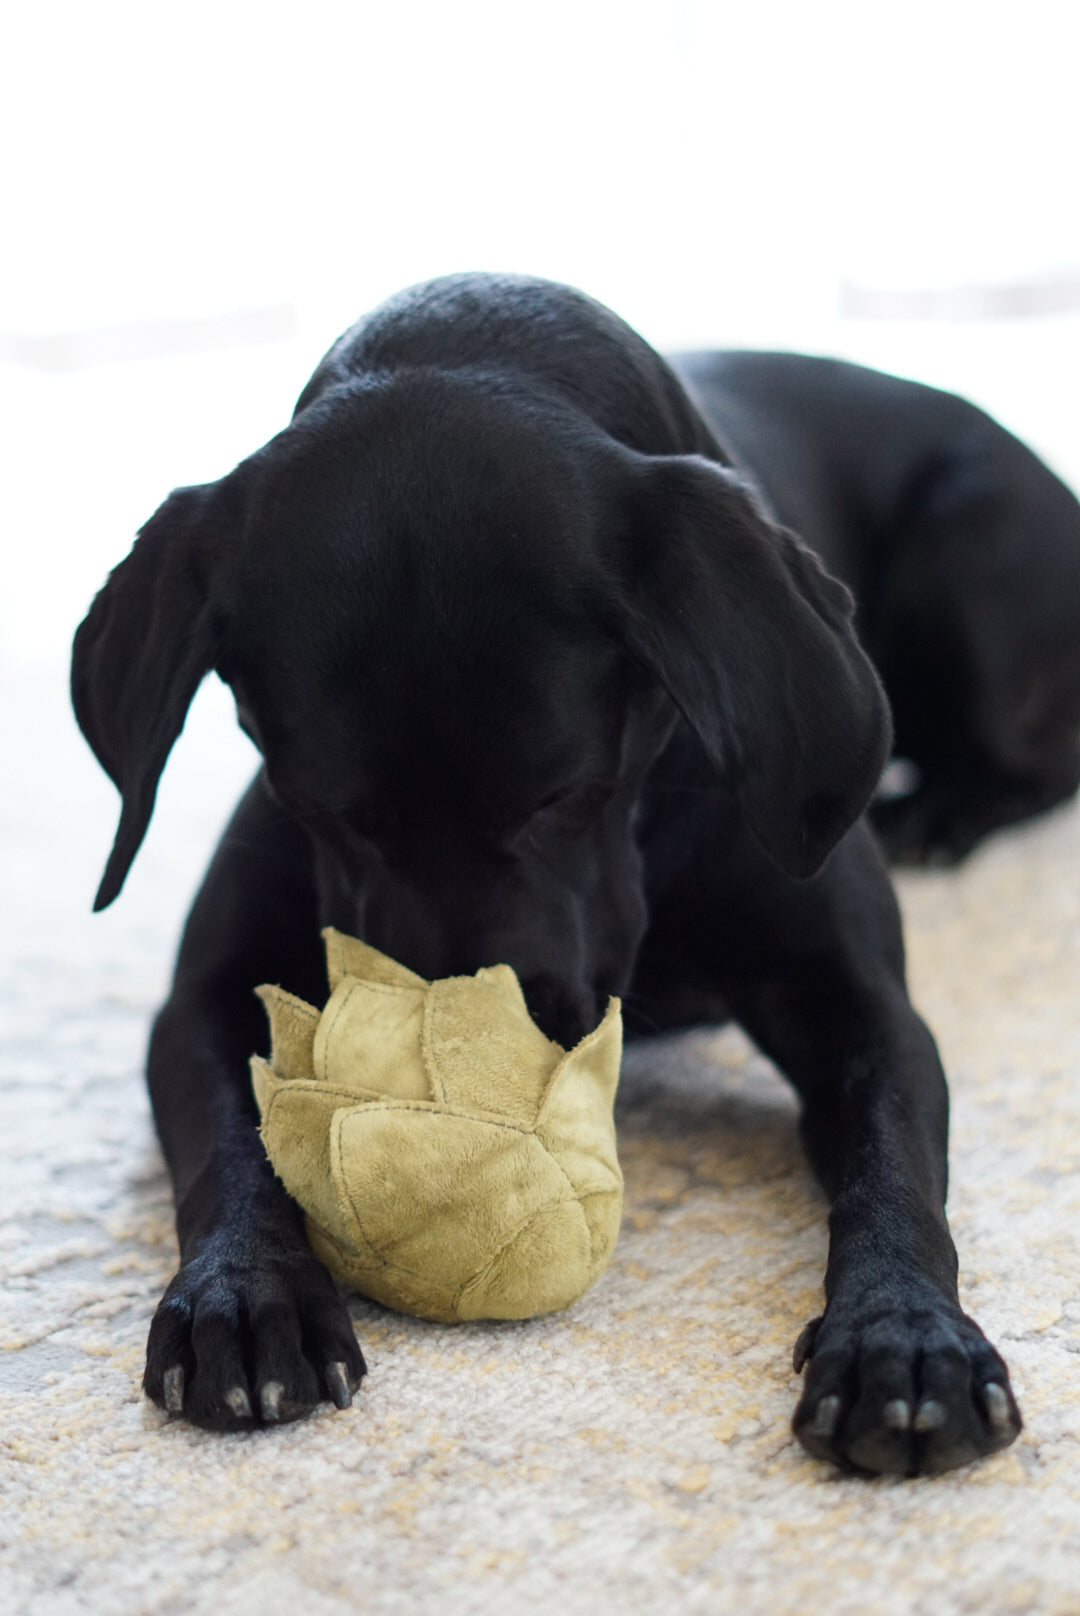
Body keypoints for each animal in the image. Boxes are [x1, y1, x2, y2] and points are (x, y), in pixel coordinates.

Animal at [69, 274, 1080, 1467]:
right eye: (321, 806)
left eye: (561, 791)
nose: (495, 1056)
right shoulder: (205, 997)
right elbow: (229, 1144)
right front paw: (243, 1295)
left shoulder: (861, 1004)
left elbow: (894, 1166)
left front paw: (904, 1338)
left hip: (973, 574)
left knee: (1041, 759)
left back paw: (941, 810)